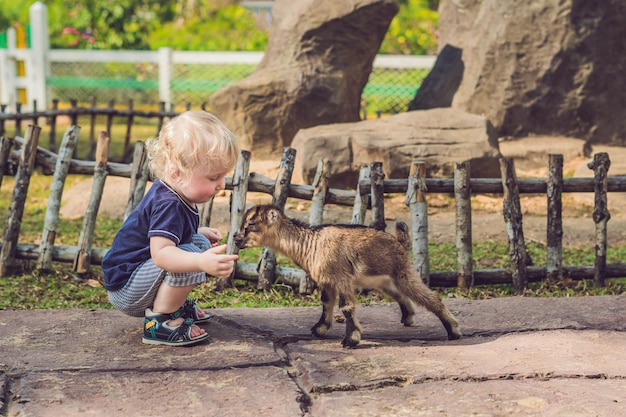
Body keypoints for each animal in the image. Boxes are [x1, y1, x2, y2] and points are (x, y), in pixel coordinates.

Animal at [232, 206, 460, 348]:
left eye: (251, 223)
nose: (236, 238)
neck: (311, 243)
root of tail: (400, 242)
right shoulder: (327, 281)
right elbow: (326, 303)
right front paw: (319, 329)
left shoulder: (341, 278)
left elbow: (346, 307)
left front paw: (351, 340)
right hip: (384, 280)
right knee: (401, 296)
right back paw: (408, 318)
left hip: (403, 273)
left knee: (430, 297)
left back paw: (454, 331)